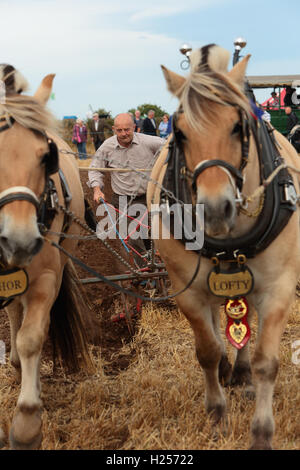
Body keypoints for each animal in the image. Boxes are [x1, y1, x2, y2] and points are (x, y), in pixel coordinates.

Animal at [148, 46, 300, 450]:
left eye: (238, 125)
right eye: (179, 133)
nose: (215, 210)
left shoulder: (278, 286)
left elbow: (266, 361)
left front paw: (261, 432)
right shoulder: (187, 290)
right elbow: (207, 351)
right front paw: (217, 415)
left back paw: (242, 372)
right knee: (218, 326)